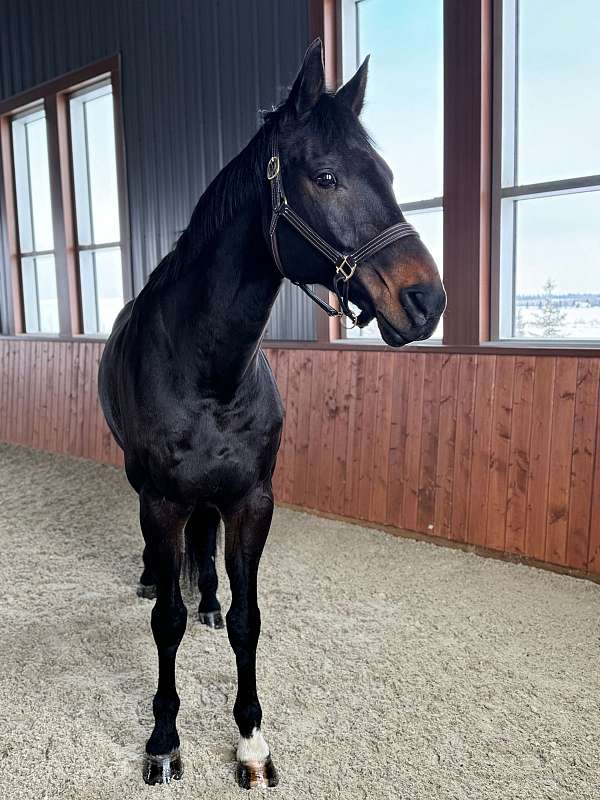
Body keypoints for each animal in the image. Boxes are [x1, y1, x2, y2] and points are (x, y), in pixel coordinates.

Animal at [98, 40, 446, 792]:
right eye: (325, 176)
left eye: (386, 174)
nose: (426, 300)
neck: (208, 369)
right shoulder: (162, 500)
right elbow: (164, 624)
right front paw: (163, 740)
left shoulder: (252, 501)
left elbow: (247, 620)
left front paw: (252, 742)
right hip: (143, 487)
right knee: (162, 565)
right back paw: (154, 577)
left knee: (204, 554)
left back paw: (206, 597)